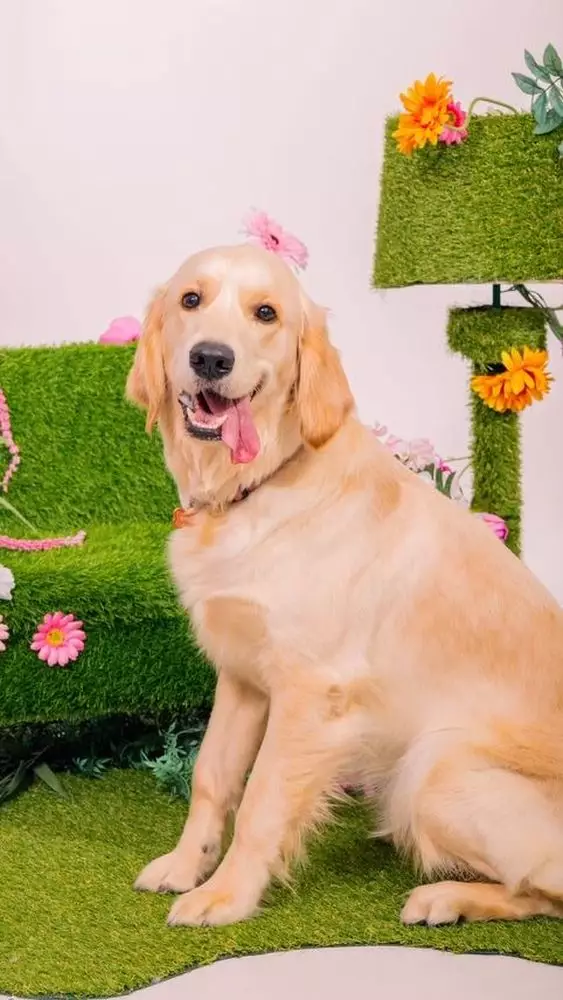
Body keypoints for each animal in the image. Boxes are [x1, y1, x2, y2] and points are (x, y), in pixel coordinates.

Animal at [127, 243, 563, 928]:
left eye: (266, 313)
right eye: (191, 300)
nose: (211, 358)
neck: (255, 487)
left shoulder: (310, 693)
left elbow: (262, 801)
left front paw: (227, 895)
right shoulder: (243, 678)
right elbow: (211, 777)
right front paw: (184, 867)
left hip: (433, 769)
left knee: (544, 889)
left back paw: (444, 895)